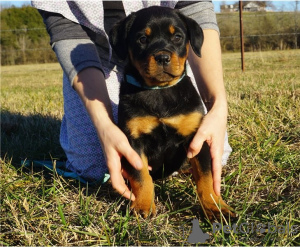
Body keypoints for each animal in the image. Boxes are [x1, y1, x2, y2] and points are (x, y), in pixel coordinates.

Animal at [109, 5, 236, 218]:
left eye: (177, 37)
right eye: (142, 39)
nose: (162, 57)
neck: (159, 91)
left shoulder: (196, 138)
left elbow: (206, 177)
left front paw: (215, 206)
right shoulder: (133, 142)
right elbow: (141, 175)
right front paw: (143, 205)